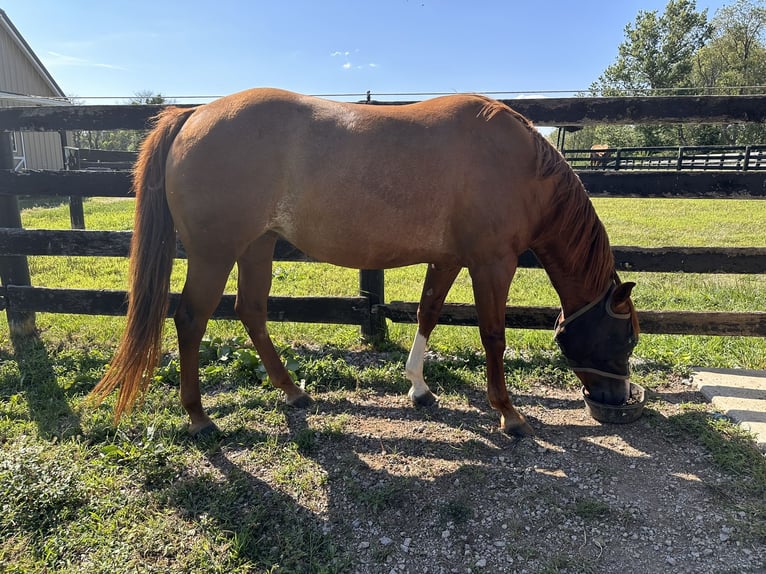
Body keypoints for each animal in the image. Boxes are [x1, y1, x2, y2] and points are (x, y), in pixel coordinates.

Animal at [91, 88, 640, 436]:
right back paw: (199, 416)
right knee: (190, 319)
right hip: (214, 252)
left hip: (258, 245)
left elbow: (427, 313)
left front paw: (419, 387)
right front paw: (508, 414)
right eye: (627, 338)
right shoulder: (492, 264)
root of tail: (194, 114)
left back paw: (292, 392)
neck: (519, 166)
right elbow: (493, 336)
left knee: (251, 311)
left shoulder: (448, 259)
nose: (617, 402)